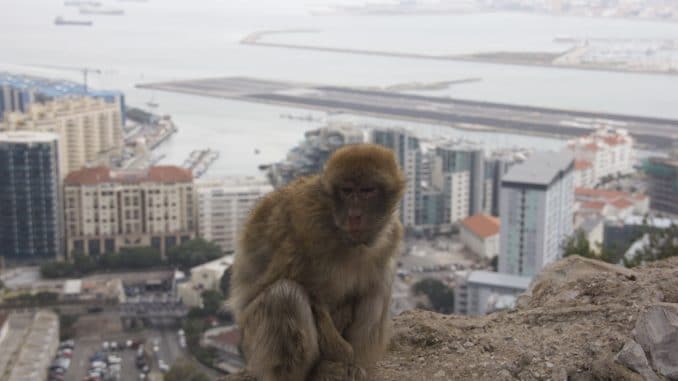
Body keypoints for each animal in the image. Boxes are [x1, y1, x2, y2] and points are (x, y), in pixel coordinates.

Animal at [231, 143, 406, 380]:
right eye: (347, 191)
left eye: (367, 191)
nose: (354, 215)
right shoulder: (308, 224)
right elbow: (309, 292)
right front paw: (343, 353)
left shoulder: (391, 234)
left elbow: (373, 286)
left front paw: (355, 363)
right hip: (251, 341)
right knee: (285, 295)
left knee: (378, 286)